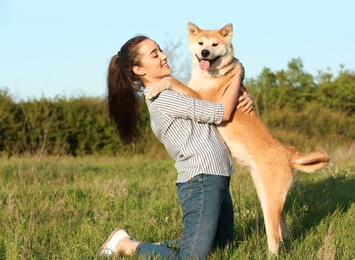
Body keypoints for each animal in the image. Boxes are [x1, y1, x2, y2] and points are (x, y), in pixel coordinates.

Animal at [145, 22, 330, 256]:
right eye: (201, 43)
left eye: (214, 45)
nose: (205, 53)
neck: (213, 74)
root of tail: (288, 153)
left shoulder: (203, 99)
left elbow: (171, 79)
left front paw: (153, 90)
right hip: (267, 194)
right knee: (284, 228)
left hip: (270, 200)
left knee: (274, 235)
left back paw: (270, 254)